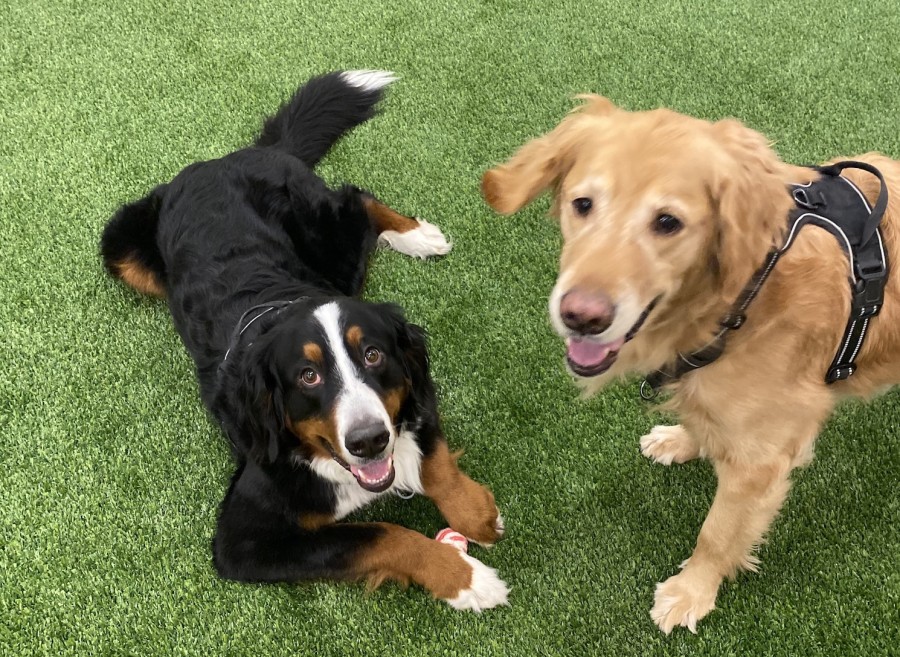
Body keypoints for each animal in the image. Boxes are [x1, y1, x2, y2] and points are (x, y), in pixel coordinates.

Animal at [100, 70, 506, 608]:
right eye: (308, 376)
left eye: (372, 354)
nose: (370, 440)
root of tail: (230, 158)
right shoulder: (245, 540)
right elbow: (382, 535)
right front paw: (464, 577)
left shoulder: (413, 390)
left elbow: (433, 456)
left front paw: (476, 511)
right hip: (123, 249)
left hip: (332, 245)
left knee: (355, 198)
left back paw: (417, 234)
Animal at [486, 96, 900, 632]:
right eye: (583, 205)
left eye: (668, 222)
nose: (581, 317)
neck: (743, 295)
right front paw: (682, 441)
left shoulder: (761, 461)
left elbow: (718, 532)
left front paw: (691, 591)